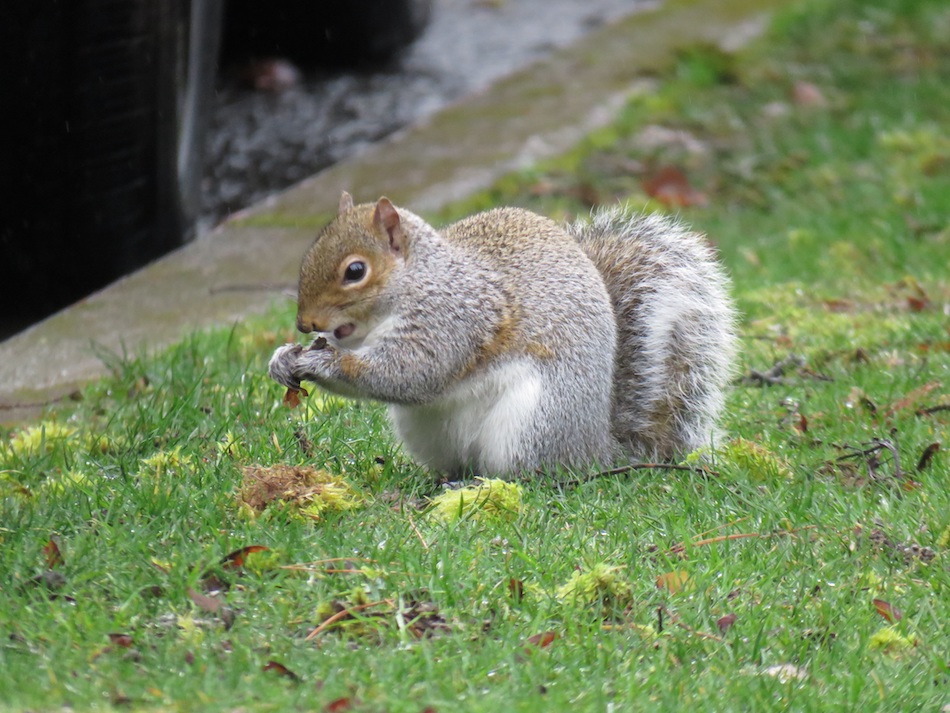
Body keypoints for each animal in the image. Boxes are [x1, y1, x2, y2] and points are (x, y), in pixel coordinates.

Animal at [272, 192, 740, 476]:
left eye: (355, 271)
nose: (305, 323)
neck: (420, 280)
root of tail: (597, 447)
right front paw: (283, 357)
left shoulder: (456, 318)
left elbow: (411, 373)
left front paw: (322, 361)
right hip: (427, 433)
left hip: (532, 422)